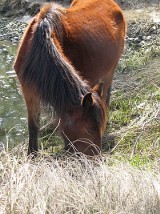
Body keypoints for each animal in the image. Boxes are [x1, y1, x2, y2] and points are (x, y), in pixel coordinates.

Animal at [13, 0, 126, 156]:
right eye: (89, 130)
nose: (97, 158)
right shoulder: (28, 90)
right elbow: (33, 125)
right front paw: (32, 154)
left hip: (110, 71)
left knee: (106, 95)